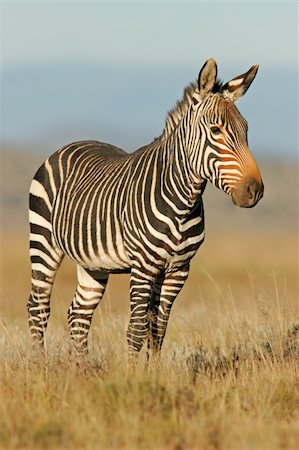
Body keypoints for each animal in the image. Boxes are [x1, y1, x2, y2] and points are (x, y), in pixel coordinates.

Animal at [27, 59, 262, 362]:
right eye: (216, 131)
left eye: (246, 129)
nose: (255, 190)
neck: (182, 202)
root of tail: (70, 144)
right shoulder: (143, 266)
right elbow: (137, 327)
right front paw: (132, 373)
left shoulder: (178, 269)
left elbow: (158, 328)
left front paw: (153, 371)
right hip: (43, 242)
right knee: (38, 307)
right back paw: (39, 364)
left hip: (93, 262)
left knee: (78, 313)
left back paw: (83, 368)